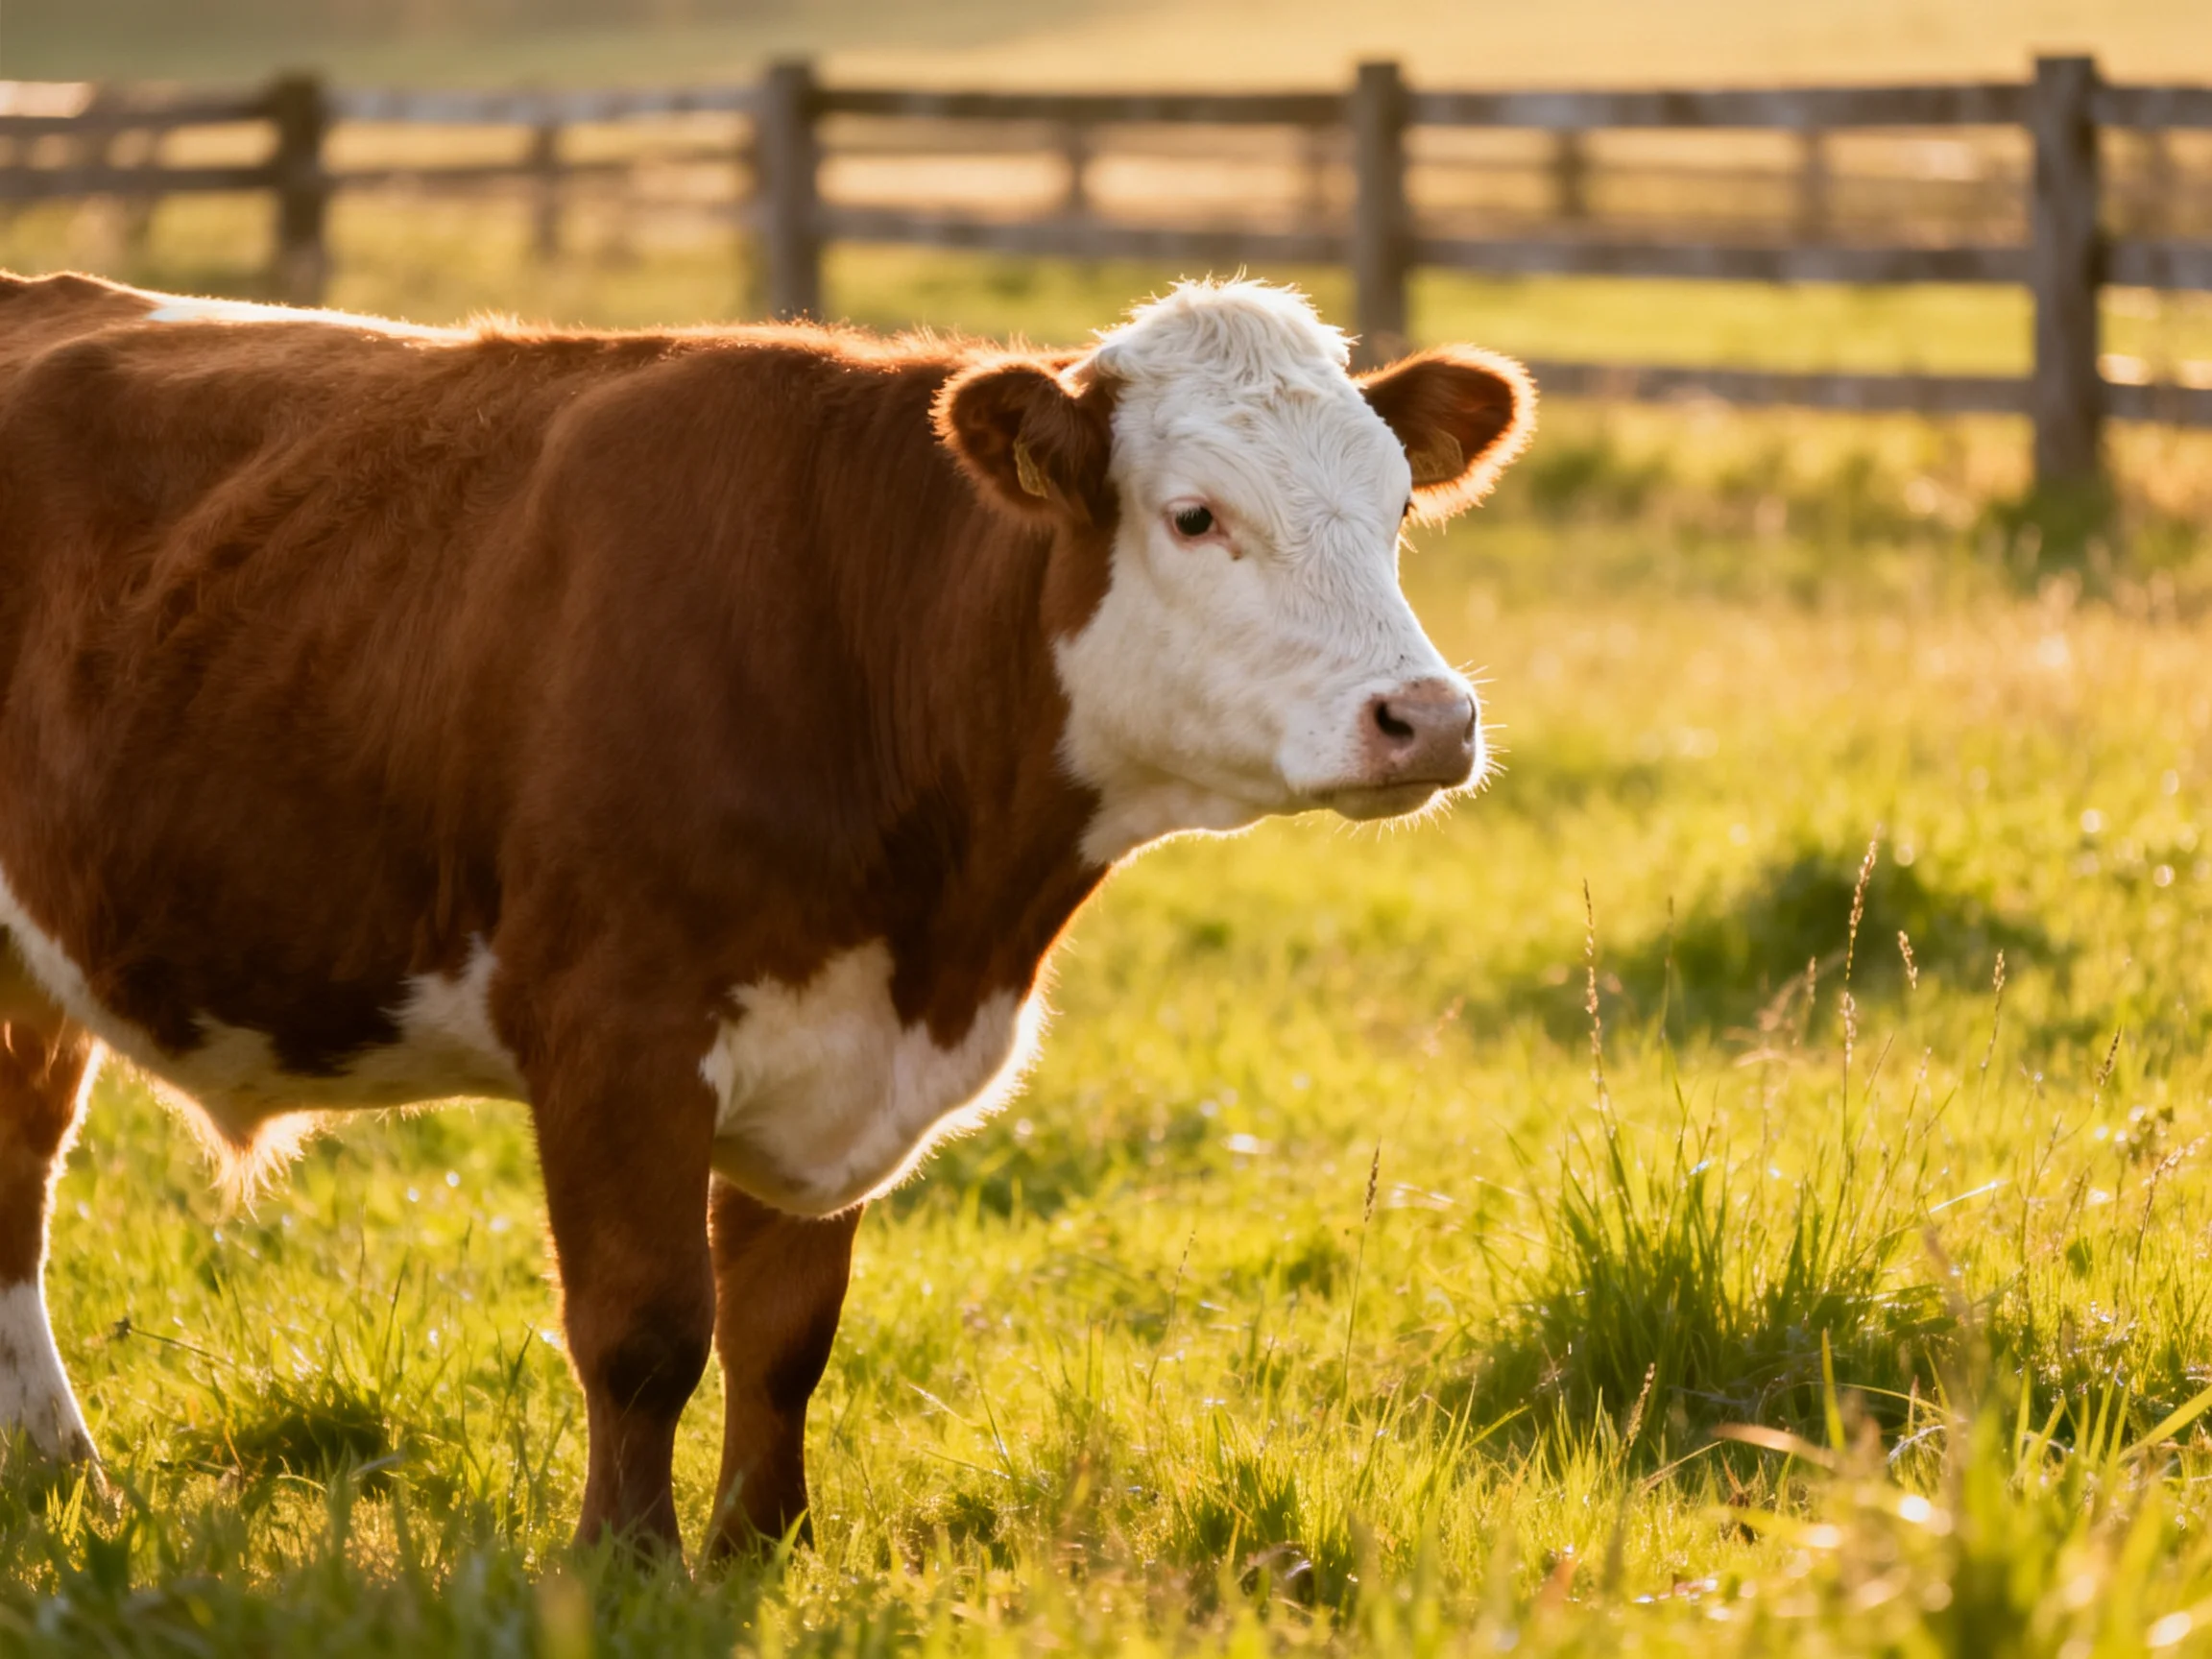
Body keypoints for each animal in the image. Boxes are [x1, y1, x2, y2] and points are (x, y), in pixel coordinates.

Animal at [0, 269, 1532, 1557]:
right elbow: (645, 1329)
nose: (1427, 716)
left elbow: (786, 1330)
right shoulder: (615, 1032)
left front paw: (762, 1545)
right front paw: (627, 1563)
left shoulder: (828, 1041)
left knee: (18, 1171)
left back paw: (59, 1470)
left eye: (1398, 509)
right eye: (1195, 514)